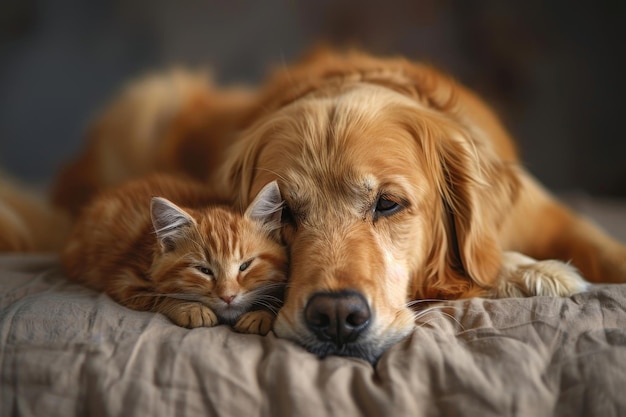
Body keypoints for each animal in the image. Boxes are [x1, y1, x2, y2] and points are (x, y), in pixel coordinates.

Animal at [62, 173, 286, 334]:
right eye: (204, 270)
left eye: (245, 266)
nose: (228, 297)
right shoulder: (125, 281)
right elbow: (161, 297)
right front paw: (191, 309)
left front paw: (262, 314)